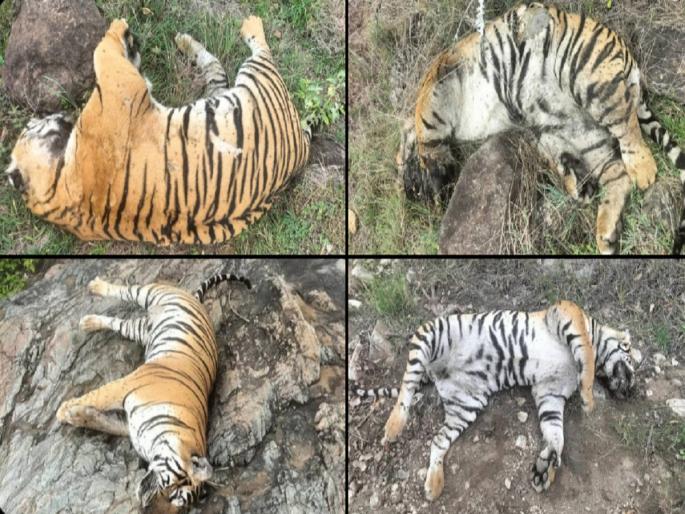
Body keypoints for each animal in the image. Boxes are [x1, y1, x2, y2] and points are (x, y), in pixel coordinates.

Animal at [4, 16, 310, 244]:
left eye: (30, 125)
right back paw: (250, 23)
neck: (57, 192)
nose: (58, 114)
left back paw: (184, 40)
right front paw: (118, 27)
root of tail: (299, 150)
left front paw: (128, 40)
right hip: (257, 79)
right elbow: (103, 52)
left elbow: (116, 56)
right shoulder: (123, 88)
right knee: (259, 51)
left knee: (216, 70)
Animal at [56, 271, 252, 508]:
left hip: (139, 330)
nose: (144, 507)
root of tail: (196, 301)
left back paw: (88, 322)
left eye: (176, 500)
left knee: (118, 323)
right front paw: (63, 411)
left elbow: (102, 422)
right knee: (124, 290)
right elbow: (96, 396)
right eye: (169, 485)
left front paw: (75, 415)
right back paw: (95, 287)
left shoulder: (128, 426)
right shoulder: (124, 386)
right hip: (150, 293)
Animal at [352, 300, 642, 501]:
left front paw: (546, 468)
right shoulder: (566, 312)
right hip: (433, 333)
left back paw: (433, 486)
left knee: (437, 441)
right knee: (407, 385)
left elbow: (555, 433)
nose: (631, 391)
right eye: (631, 358)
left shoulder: (550, 393)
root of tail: (434, 374)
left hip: (466, 405)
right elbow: (587, 356)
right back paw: (394, 427)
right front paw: (589, 399)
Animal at [396, 2, 685, 254]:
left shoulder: (439, 76)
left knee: (627, 125)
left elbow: (423, 125)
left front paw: (430, 175)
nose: (407, 195)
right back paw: (603, 229)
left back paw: (643, 172)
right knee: (616, 175)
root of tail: (625, 50)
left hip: (588, 77)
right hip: (577, 131)